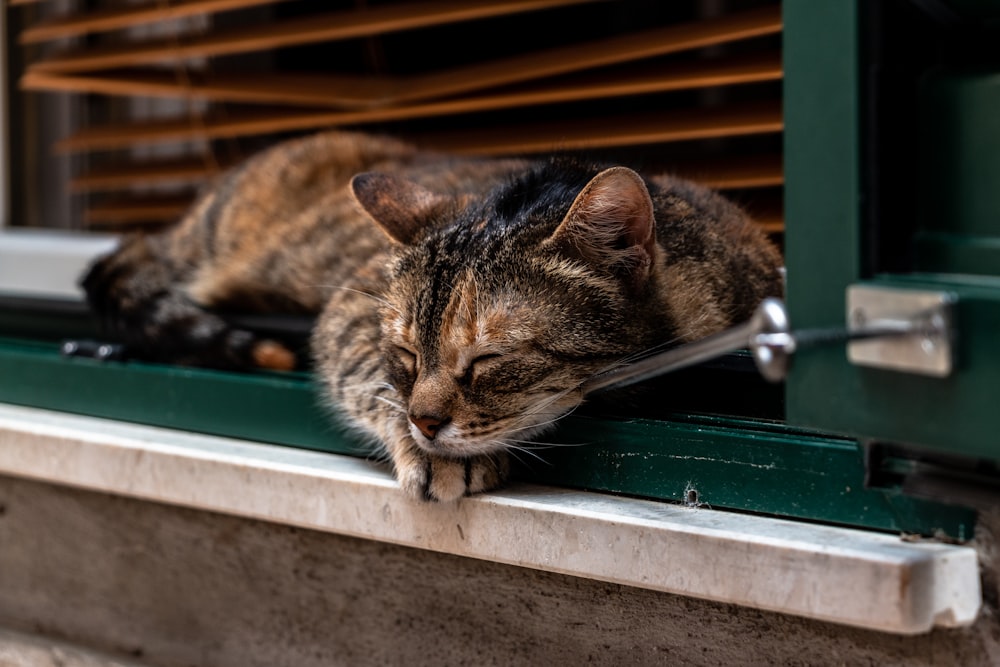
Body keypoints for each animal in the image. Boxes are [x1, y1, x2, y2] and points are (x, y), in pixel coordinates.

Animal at [82, 129, 784, 500]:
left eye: (490, 358)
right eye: (406, 353)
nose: (425, 423)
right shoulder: (351, 306)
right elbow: (369, 379)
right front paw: (433, 450)